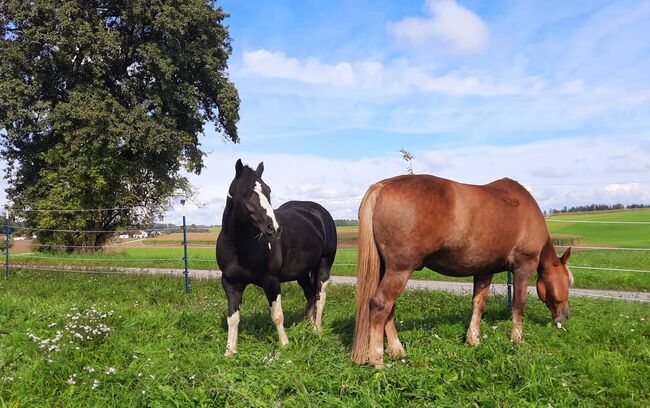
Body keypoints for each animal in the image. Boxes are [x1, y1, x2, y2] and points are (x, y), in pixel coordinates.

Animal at [218, 159, 340, 356]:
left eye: (268, 191)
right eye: (246, 193)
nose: (274, 229)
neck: (238, 246)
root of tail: (320, 213)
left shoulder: (271, 281)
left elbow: (277, 315)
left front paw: (284, 344)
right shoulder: (231, 284)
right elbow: (233, 318)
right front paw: (230, 351)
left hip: (324, 264)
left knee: (320, 296)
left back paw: (317, 330)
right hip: (301, 273)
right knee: (310, 294)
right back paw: (307, 324)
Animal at [350, 174, 572, 368]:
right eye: (568, 282)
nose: (565, 316)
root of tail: (382, 187)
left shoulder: (484, 270)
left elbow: (478, 304)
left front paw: (473, 339)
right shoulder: (524, 267)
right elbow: (518, 304)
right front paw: (517, 338)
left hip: (386, 269)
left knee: (389, 307)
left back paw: (397, 350)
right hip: (400, 270)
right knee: (380, 304)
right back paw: (378, 361)